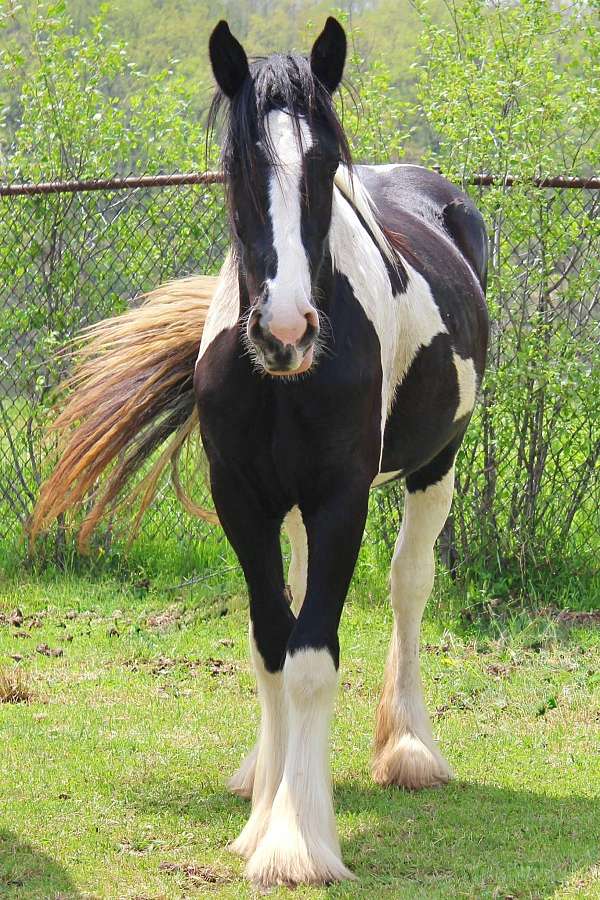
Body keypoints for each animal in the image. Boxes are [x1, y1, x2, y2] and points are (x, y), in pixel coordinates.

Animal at [30, 16, 489, 888]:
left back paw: (409, 748)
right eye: (238, 163)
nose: (286, 331)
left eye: (323, 163)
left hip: (434, 464)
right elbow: (273, 641)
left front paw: (297, 842)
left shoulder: (341, 497)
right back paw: (266, 772)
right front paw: (265, 814)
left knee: (409, 586)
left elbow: (312, 655)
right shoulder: (243, 498)